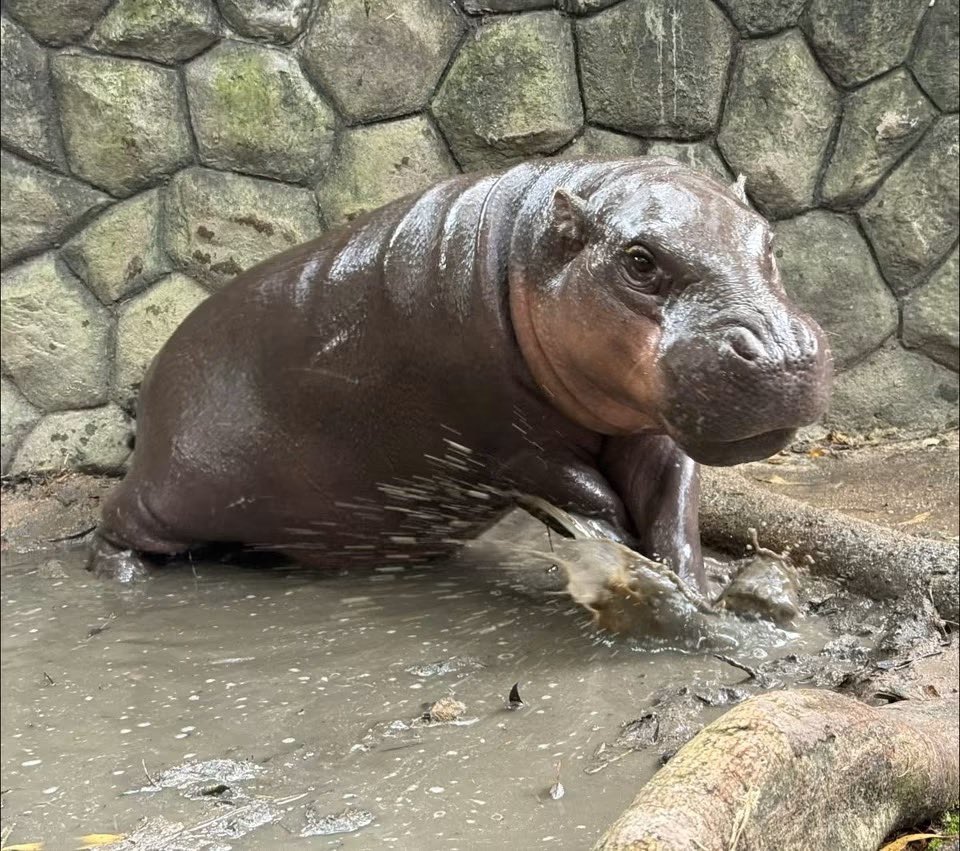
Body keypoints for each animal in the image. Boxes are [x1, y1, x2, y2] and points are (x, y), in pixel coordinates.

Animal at [91, 158, 831, 590]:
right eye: (640, 260)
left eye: (769, 240)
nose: (784, 352)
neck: (527, 254)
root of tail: (153, 369)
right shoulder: (506, 442)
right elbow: (594, 497)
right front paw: (628, 565)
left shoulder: (648, 424)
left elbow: (673, 502)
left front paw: (697, 588)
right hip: (171, 487)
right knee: (117, 515)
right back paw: (120, 572)